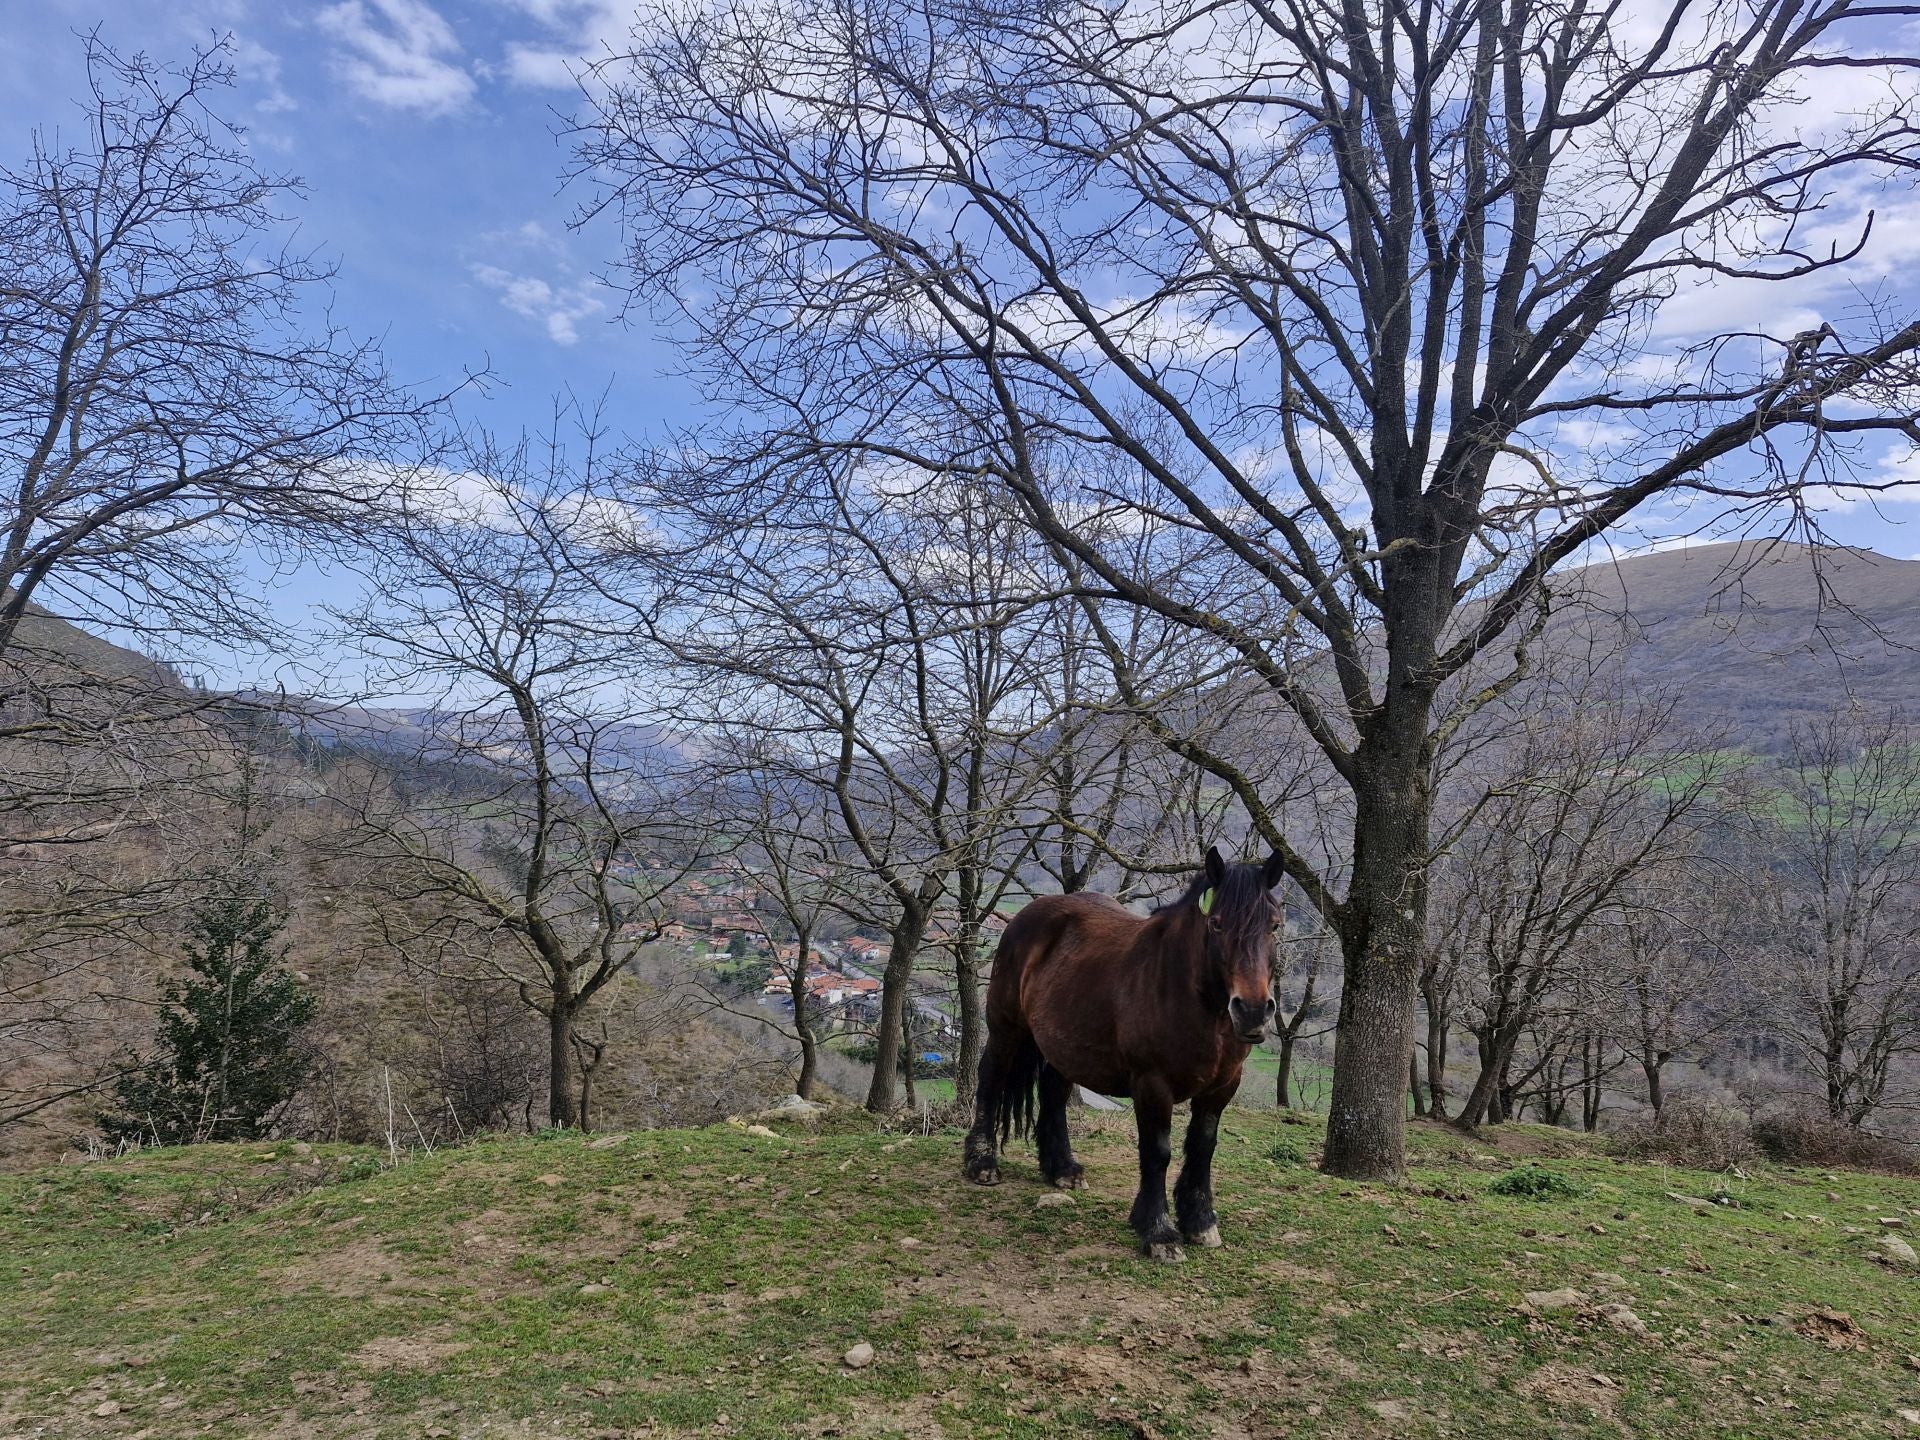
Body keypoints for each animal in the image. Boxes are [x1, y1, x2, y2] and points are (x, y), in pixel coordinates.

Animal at [967, 844, 1282, 1259]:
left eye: (1274, 925)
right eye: (1216, 923)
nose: (1252, 1011)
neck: (1184, 992)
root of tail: (1029, 914)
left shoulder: (1222, 1086)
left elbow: (1203, 1147)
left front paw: (1200, 1222)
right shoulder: (1152, 1085)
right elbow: (1157, 1152)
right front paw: (1158, 1231)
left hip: (1063, 1045)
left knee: (1053, 1092)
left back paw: (1063, 1169)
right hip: (1007, 1029)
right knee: (991, 1079)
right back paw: (981, 1162)